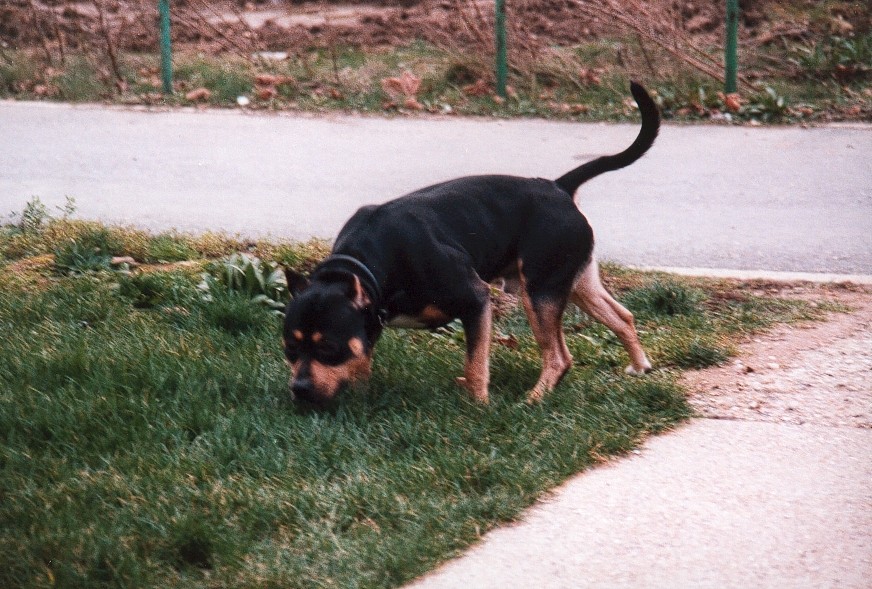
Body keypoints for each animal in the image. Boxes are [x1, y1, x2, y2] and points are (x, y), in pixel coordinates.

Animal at [282, 80, 656, 406]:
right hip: (575, 282)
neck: (369, 263)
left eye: (329, 348)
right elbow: (363, 359)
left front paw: (478, 406)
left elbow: (475, 363)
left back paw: (532, 400)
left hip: (540, 292)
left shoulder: (476, 300)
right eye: (289, 349)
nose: (299, 389)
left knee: (559, 357)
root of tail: (558, 186)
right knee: (622, 316)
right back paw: (640, 366)